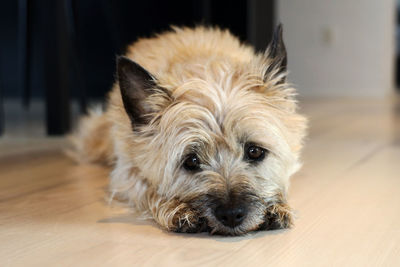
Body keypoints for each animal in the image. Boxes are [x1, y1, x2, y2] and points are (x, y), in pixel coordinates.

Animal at [71, 24, 306, 234]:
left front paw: (278, 206)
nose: (232, 215)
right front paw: (175, 208)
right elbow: (147, 187)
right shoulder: (126, 172)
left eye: (255, 151)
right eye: (191, 161)